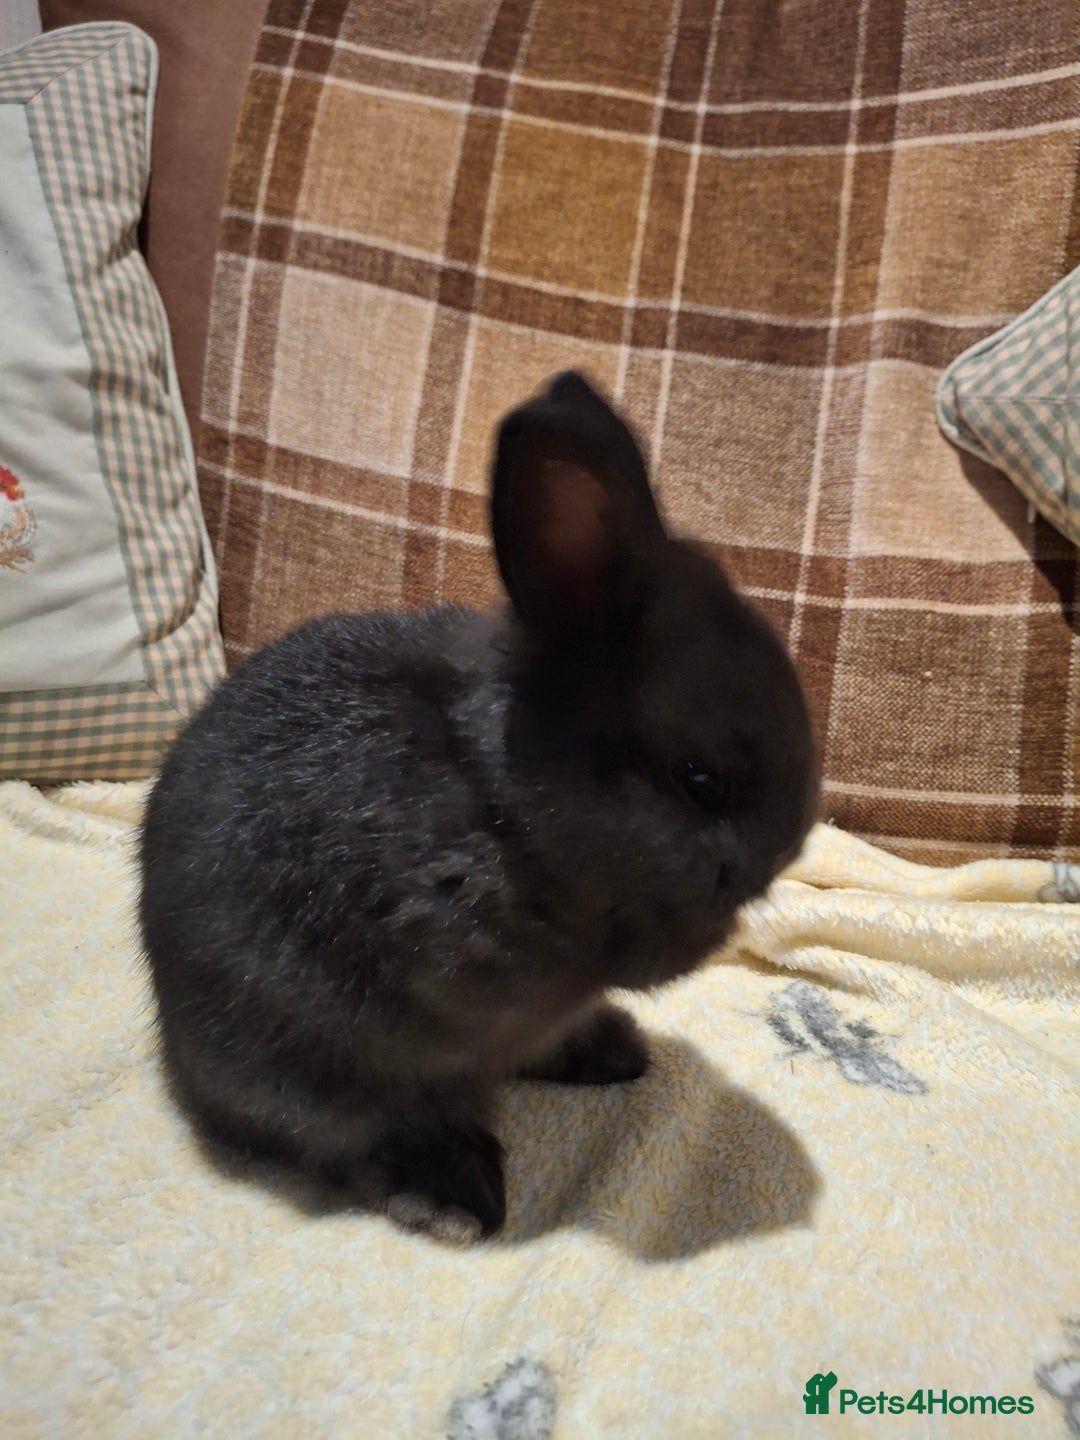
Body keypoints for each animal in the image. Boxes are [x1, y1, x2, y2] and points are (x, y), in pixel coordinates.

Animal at [138, 370, 818, 1244]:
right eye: (698, 779)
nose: (786, 850)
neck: (502, 799)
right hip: (305, 1072)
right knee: (355, 1136)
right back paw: (457, 1193)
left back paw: (613, 1053)